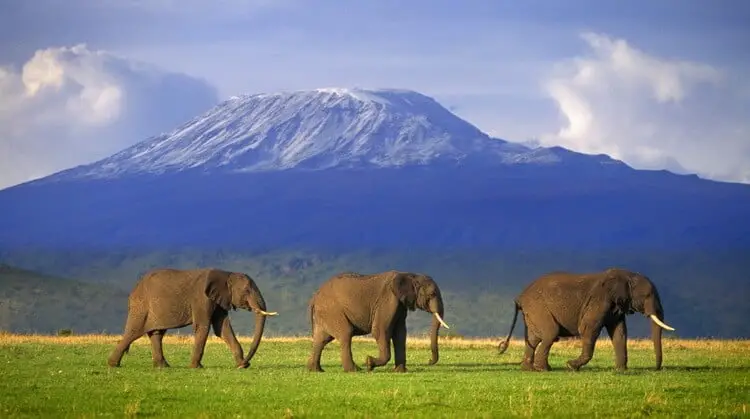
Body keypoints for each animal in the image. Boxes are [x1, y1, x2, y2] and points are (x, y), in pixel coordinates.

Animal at [106, 270, 280, 370]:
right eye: (247, 291)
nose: (247, 362)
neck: (226, 274)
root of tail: (134, 288)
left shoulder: (218, 299)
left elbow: (222, 328)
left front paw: (241, 365)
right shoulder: (201, 299)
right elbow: (203, 326)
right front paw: (196, 367)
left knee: (157, 334)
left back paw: (163, 367)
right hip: (141, 305)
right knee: (134, 332)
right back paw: (113, 365)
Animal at [306, 270, 450, 372]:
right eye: (432, 294)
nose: (429, 361)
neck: (410, 275)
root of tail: (315, 297)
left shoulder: (400, 305)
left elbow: (400, 334)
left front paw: (400, 371)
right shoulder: (388, 301)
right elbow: (380, 331)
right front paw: (369, 363)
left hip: (325, 314)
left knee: (321, 340)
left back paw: (316, 370)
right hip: (332, 311)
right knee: (346, 334)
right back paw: (355, 370)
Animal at [500, 268, 676, 372]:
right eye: (647, 295)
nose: (657, 369)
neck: (626, 275)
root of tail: (520, 296)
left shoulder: (615, 307)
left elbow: (619, 333)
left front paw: (620, 371)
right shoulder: (599, 301)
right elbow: (589, 328)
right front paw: (571, 366)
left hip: (533, 311)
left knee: (534, 338)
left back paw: (530, 369)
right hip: (538, 307)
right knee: (550, 333)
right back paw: (543, 369)